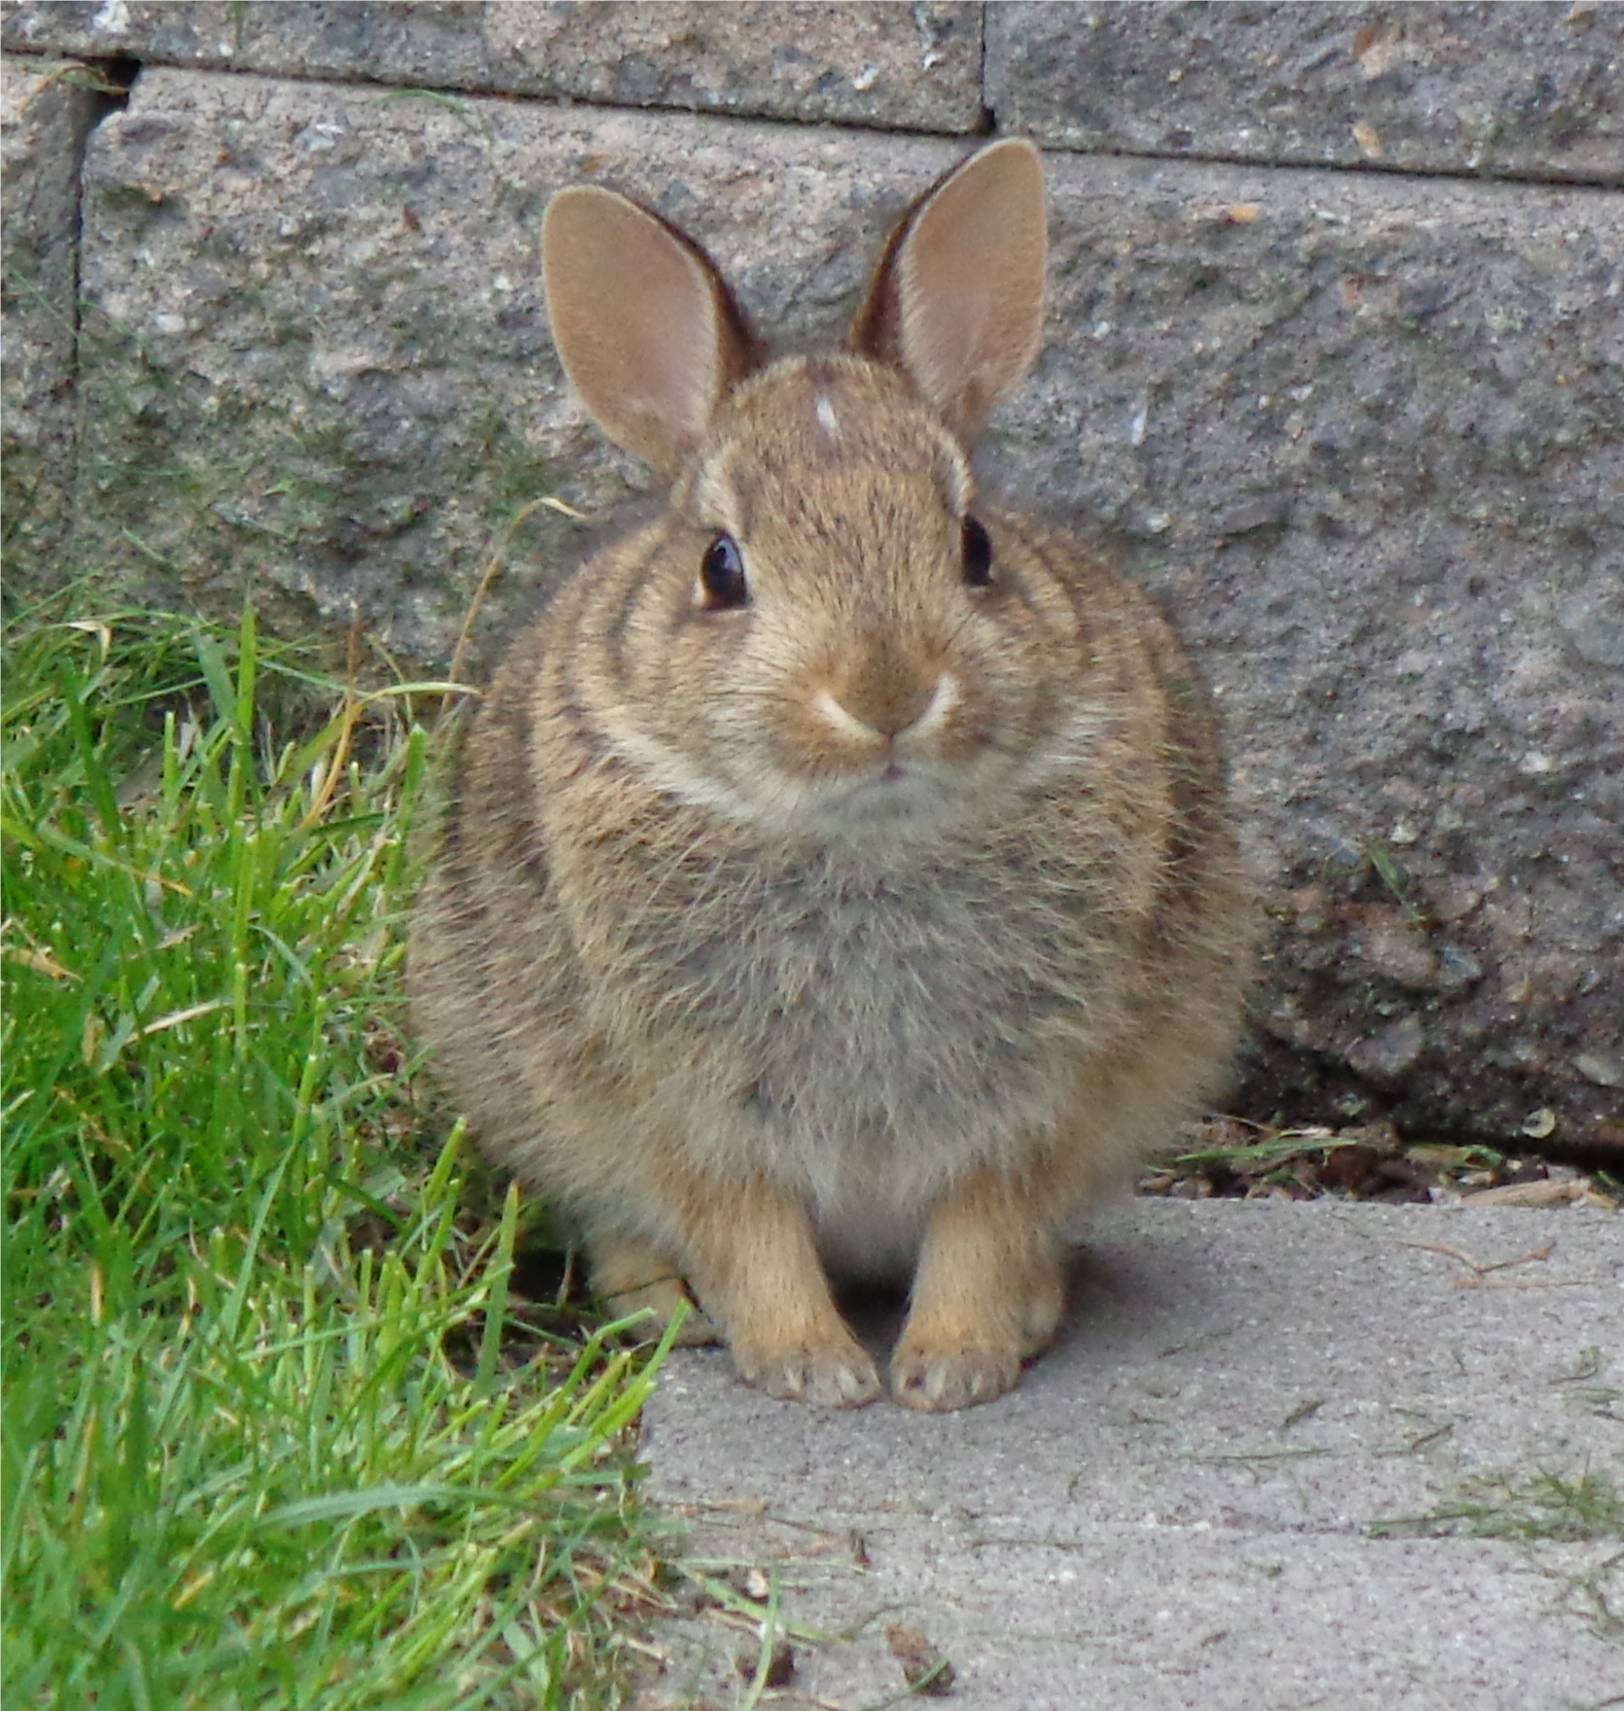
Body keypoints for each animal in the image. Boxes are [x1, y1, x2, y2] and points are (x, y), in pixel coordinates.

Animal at [408, 136, 1252, 1416]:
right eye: (720, 568)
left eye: (975, 546)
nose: (888, 693)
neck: (866, 838)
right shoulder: (687, 1101)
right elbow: (746, 1230)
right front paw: (812, 1367)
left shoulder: (1030, 1097)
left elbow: (981, 1225)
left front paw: (952, 1366)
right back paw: (663, 1309)